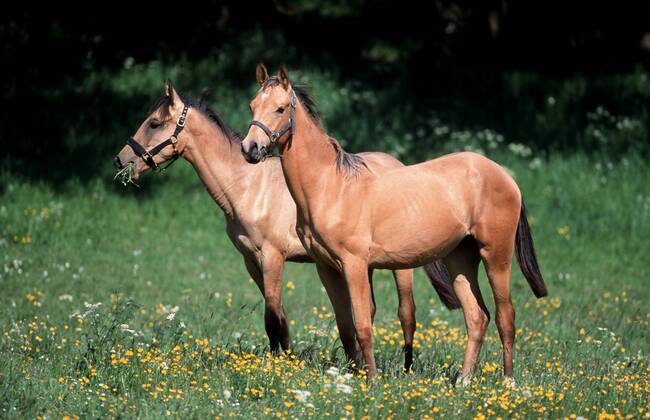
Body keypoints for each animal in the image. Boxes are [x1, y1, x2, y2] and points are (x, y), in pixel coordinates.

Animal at [113, 80, 459, 371]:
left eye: (154, 123)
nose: (121, 160)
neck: (248, 186)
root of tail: (398, 164)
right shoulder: (252, 261)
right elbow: (279, 316)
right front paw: (286, 359)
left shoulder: (272, 257)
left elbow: (272, 317)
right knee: (368, 310)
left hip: (401, 268)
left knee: (406, 314)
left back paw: (407, 369)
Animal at [241, 65, 547, 383]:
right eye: (252, 105)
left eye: (280, 108)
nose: (250, 149)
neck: (330, 187)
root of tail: (504, 175)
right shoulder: (327, 268)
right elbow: (346, 326)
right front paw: (355, 374)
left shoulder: (354, 265)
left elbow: (363, 324)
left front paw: (373, 379)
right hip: (460, 260)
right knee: (477, 317)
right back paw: (463, 381)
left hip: (496, 256)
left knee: (505, 315)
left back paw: (508, 381)